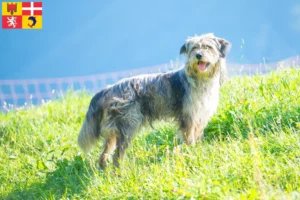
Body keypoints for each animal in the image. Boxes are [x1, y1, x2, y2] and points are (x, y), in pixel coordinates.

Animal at [78, 33, 232, 169]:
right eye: (194, 48)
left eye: (208, 47)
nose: (198, 55)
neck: (200, 79)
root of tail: (108, 89)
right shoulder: (188, 118)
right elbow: (189, 140)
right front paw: (191, 154)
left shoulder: (199, 117)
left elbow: (197, 136)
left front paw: (197, 150)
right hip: (128, 126)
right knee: (117, 155)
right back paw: (120, 174)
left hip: (113, 132)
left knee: (104, 156)